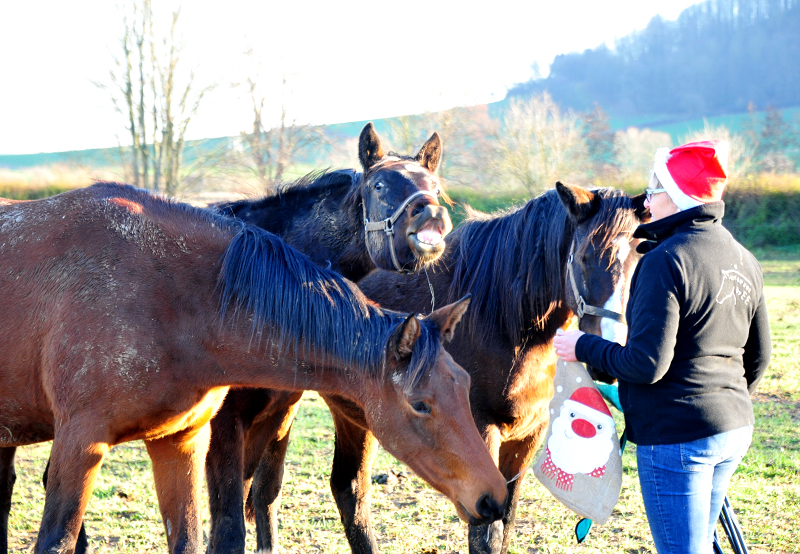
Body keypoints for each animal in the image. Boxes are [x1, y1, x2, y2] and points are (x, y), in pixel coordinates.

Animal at [244, 182, 648, 552]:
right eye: (583, 257)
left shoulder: (528, 435)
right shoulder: (481, 430)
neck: (506, 320)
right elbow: (485, 535)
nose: (612, 349)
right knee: (267, 491)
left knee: (349, 490)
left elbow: (505, 523)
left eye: (637, 259)